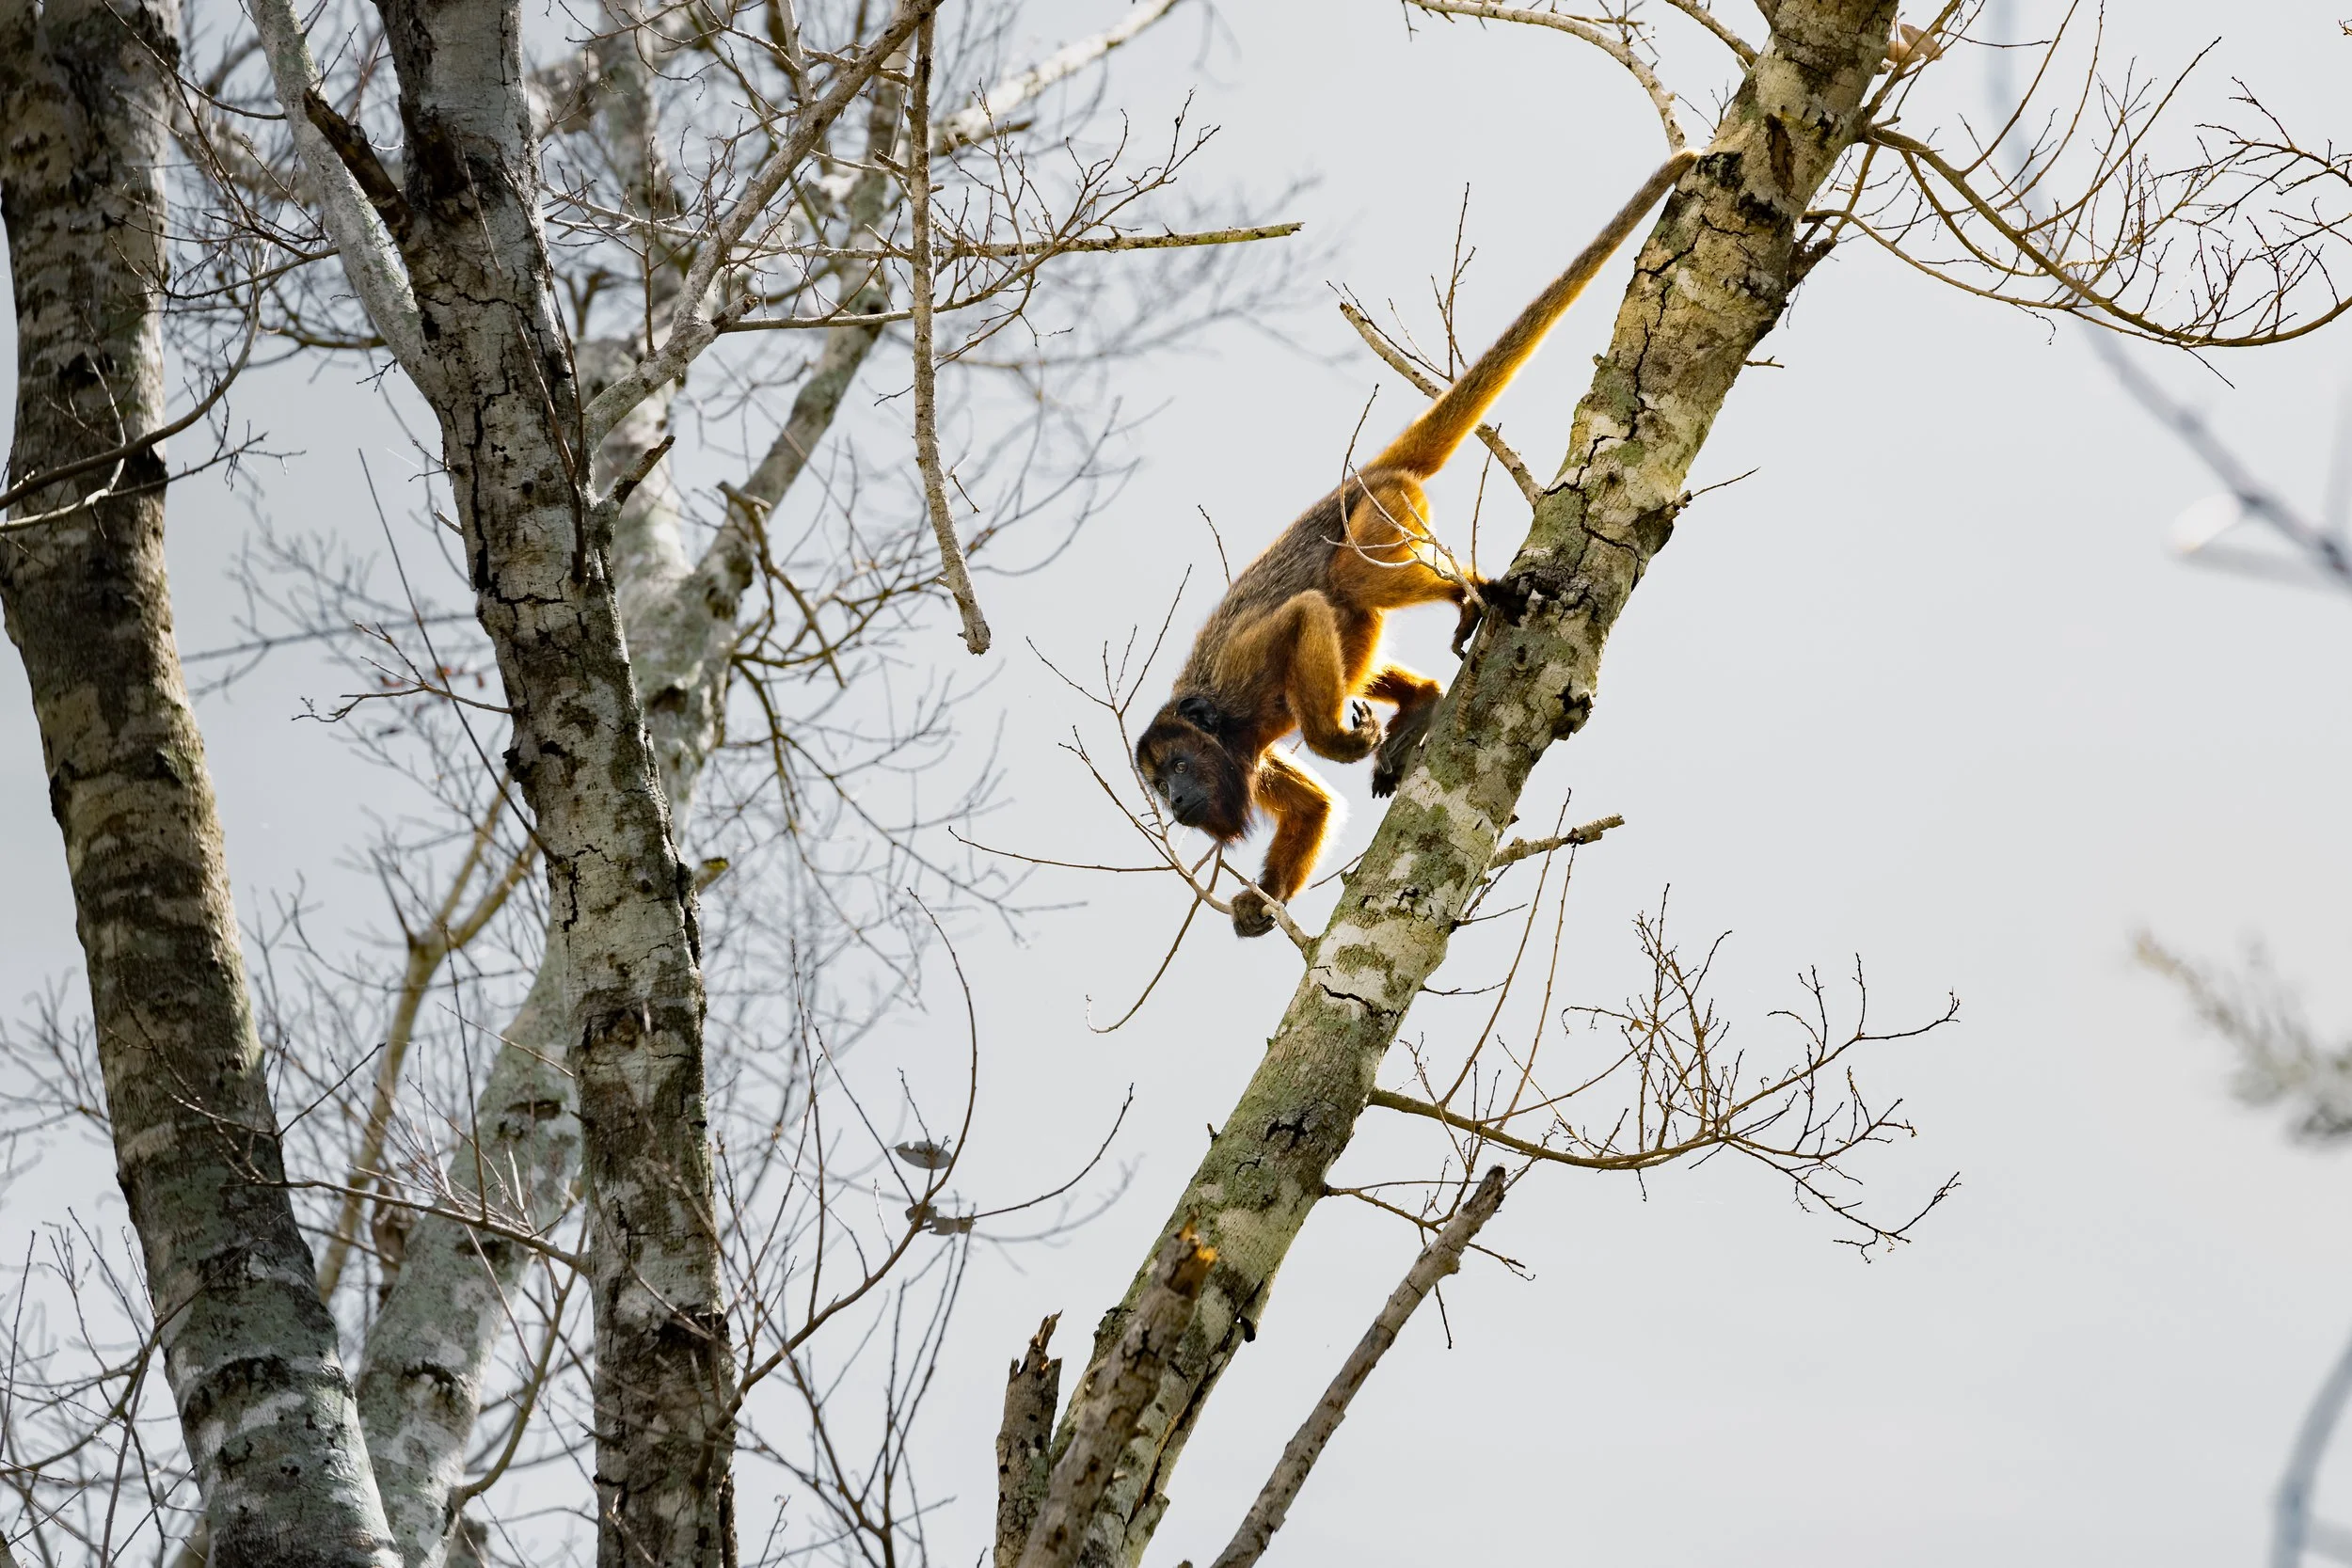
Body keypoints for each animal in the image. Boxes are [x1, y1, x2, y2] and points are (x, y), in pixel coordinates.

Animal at [1135, 151, 1696, 938]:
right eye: (1158, 788)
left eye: (1178, 770)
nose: (1179, 806)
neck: (1219, 724)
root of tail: (1362, 476)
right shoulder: (1245, 756)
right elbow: (1311, 805)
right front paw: (1259, 903)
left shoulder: (1241, 682)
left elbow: (1299, 616)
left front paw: (1336, 740)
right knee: (1358, 619)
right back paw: (1423, 701)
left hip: (1387, 511)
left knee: (1350, 583)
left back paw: (1470, 594)